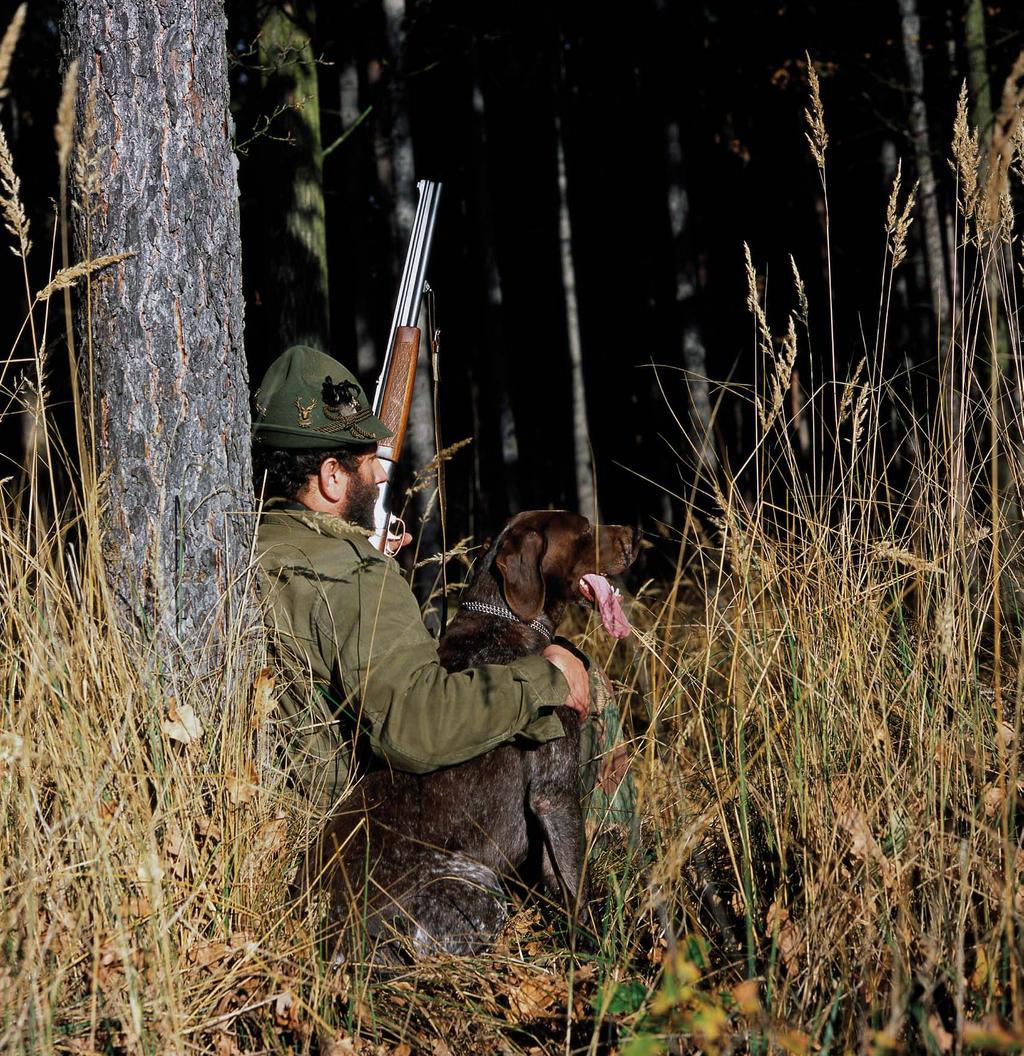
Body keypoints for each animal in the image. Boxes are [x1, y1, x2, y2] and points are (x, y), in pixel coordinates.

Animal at [291, 511, 633, 967]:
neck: (506, 618)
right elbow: (577, 885)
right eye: (583, 532)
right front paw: (597, 953)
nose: (633, 535)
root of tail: (333, 937)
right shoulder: (554, 793)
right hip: (480, 884)